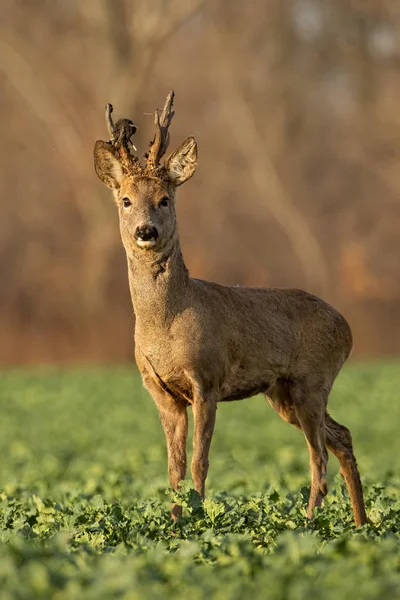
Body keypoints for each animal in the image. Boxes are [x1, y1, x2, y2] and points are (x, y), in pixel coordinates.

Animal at [94, 89, 368, 524]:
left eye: (164, 200)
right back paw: (360, 524)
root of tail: (347, 326)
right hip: (282, 392)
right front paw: (175, 524)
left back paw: (310, 524)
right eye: (125, 200)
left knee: (319, 457)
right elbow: (172, 468)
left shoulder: (207, 379)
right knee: (341, 435)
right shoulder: (161, 390)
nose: (145, 231)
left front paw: (199, 518)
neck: (166, 323)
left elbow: (199, 462)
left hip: (313, 379)